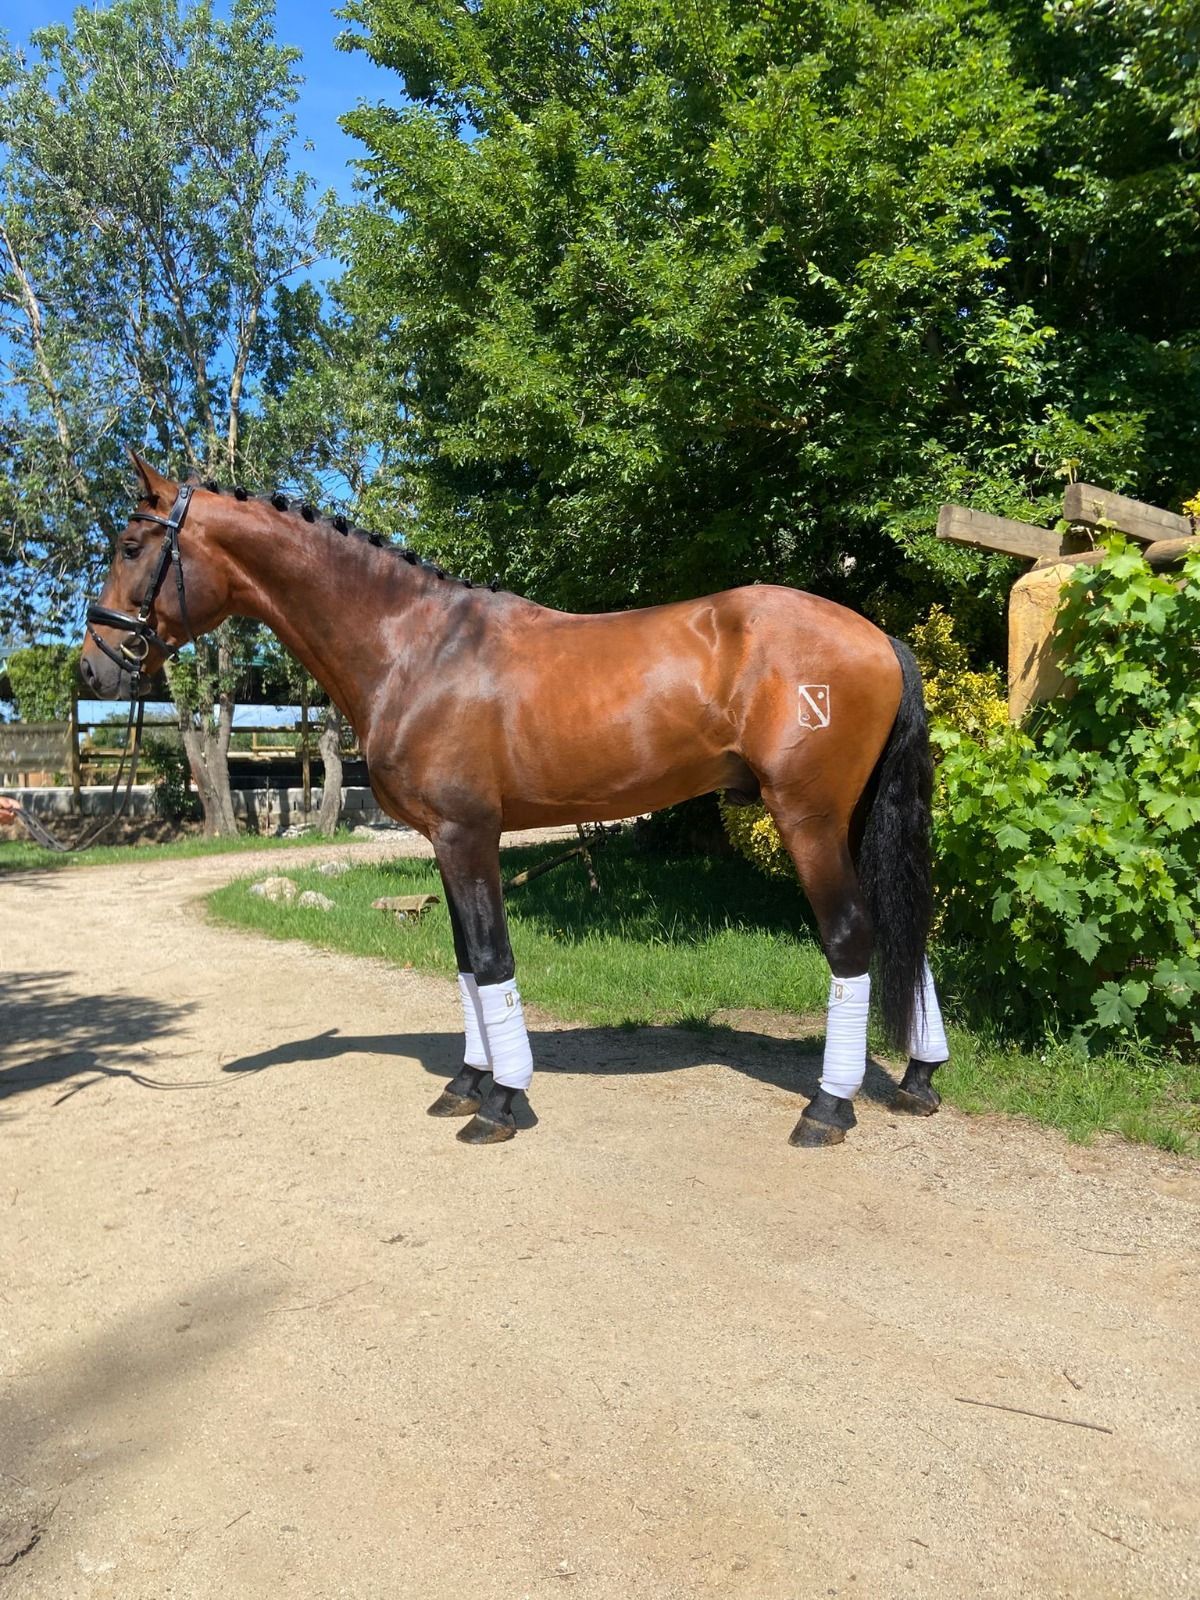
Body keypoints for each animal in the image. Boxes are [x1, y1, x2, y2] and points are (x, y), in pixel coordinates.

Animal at [80, 453, 950, 1147]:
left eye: (131, 546)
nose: (94, 667)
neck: (415, 645)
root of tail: (879, 638)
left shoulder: (468, 834)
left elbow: (494, 959)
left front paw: (501, 1101)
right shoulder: (443, 840)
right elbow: (466, 962)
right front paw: (465, 1084)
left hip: (806, 818)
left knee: (851, 937)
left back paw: (827, 1108)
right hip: (854, 819)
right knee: (905, 932)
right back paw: (918, 1078)